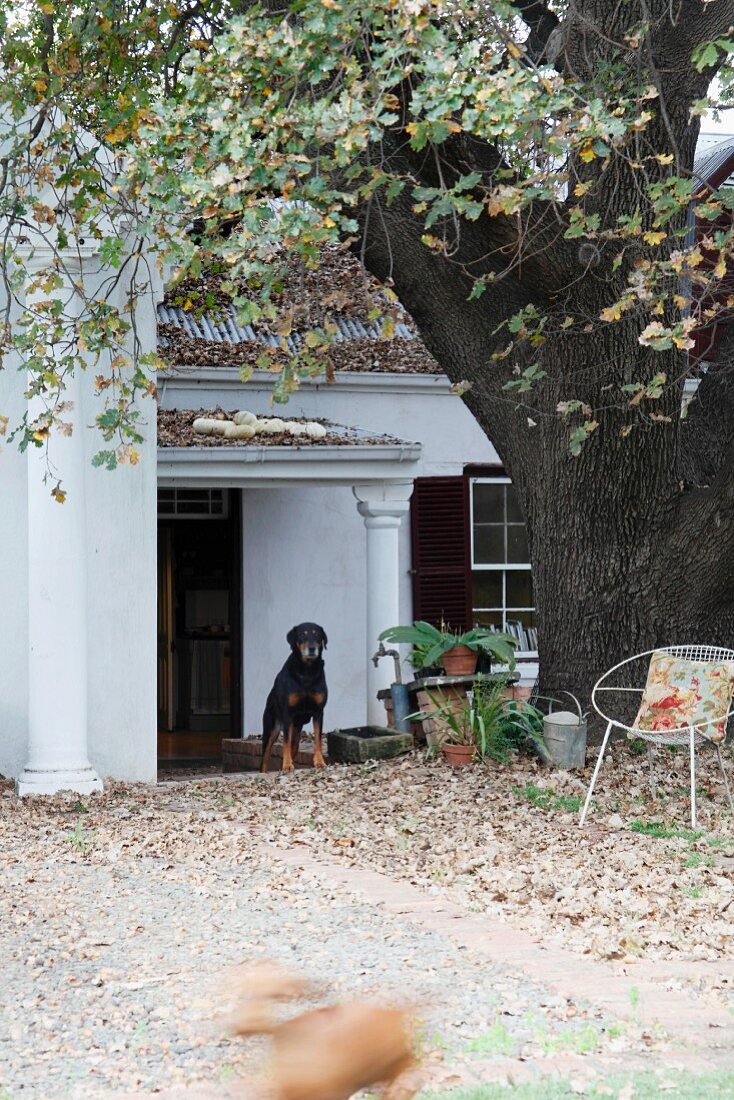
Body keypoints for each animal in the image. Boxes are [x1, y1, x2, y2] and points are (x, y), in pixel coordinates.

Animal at [258, 624, 327, 770]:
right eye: (302, 635)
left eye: (317, 635)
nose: (311, 648)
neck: (307, 671)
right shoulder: (287, 714)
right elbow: (285, 742)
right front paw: (287, 766)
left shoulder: (318, 712)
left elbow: (318, 739)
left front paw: (319, 762)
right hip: (271, 727)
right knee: (265, 757)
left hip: (296, 726)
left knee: (293, 747)